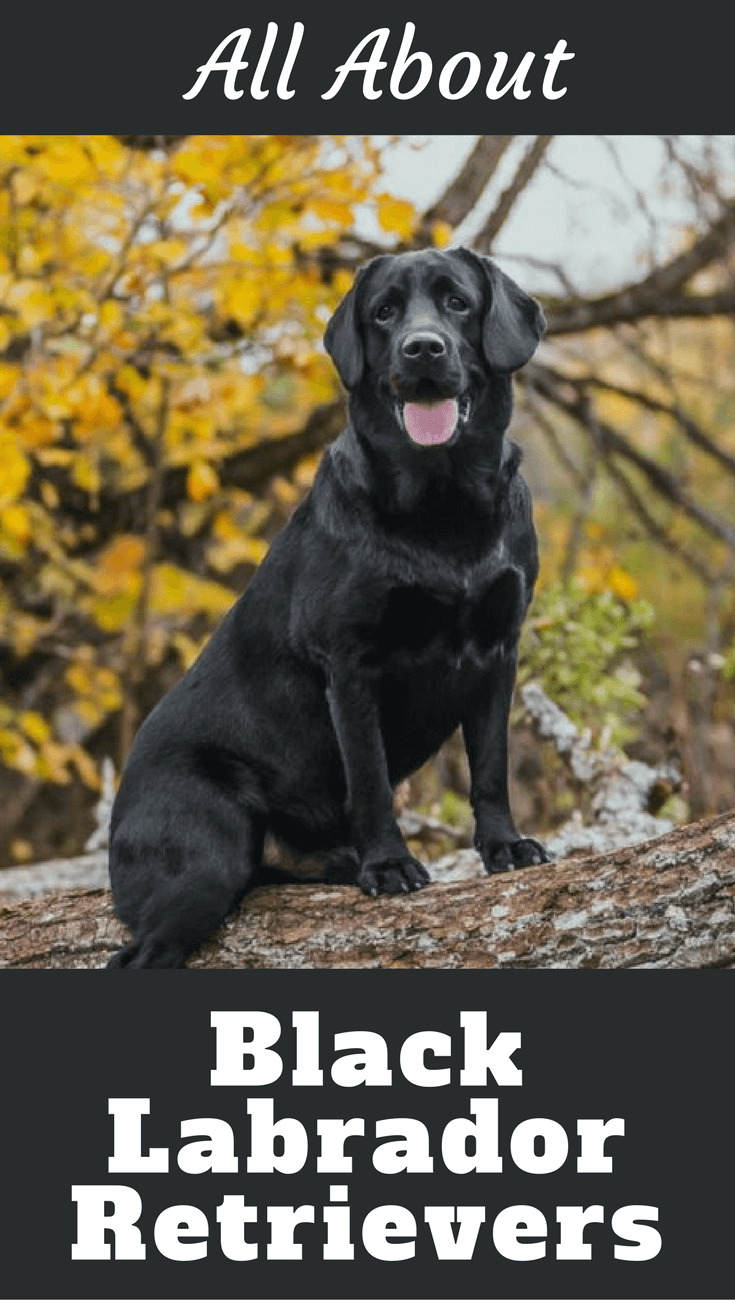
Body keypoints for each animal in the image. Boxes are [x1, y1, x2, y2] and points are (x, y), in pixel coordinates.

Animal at [107, 248, 551, 972]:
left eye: (457, 303)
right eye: (384, 312)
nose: (422, 348)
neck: (442, 504)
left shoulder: (497, 650)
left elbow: (489, 767)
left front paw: (504, 847)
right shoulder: (350, 663)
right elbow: (369, 779)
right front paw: (389, 865)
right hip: (202, 864)